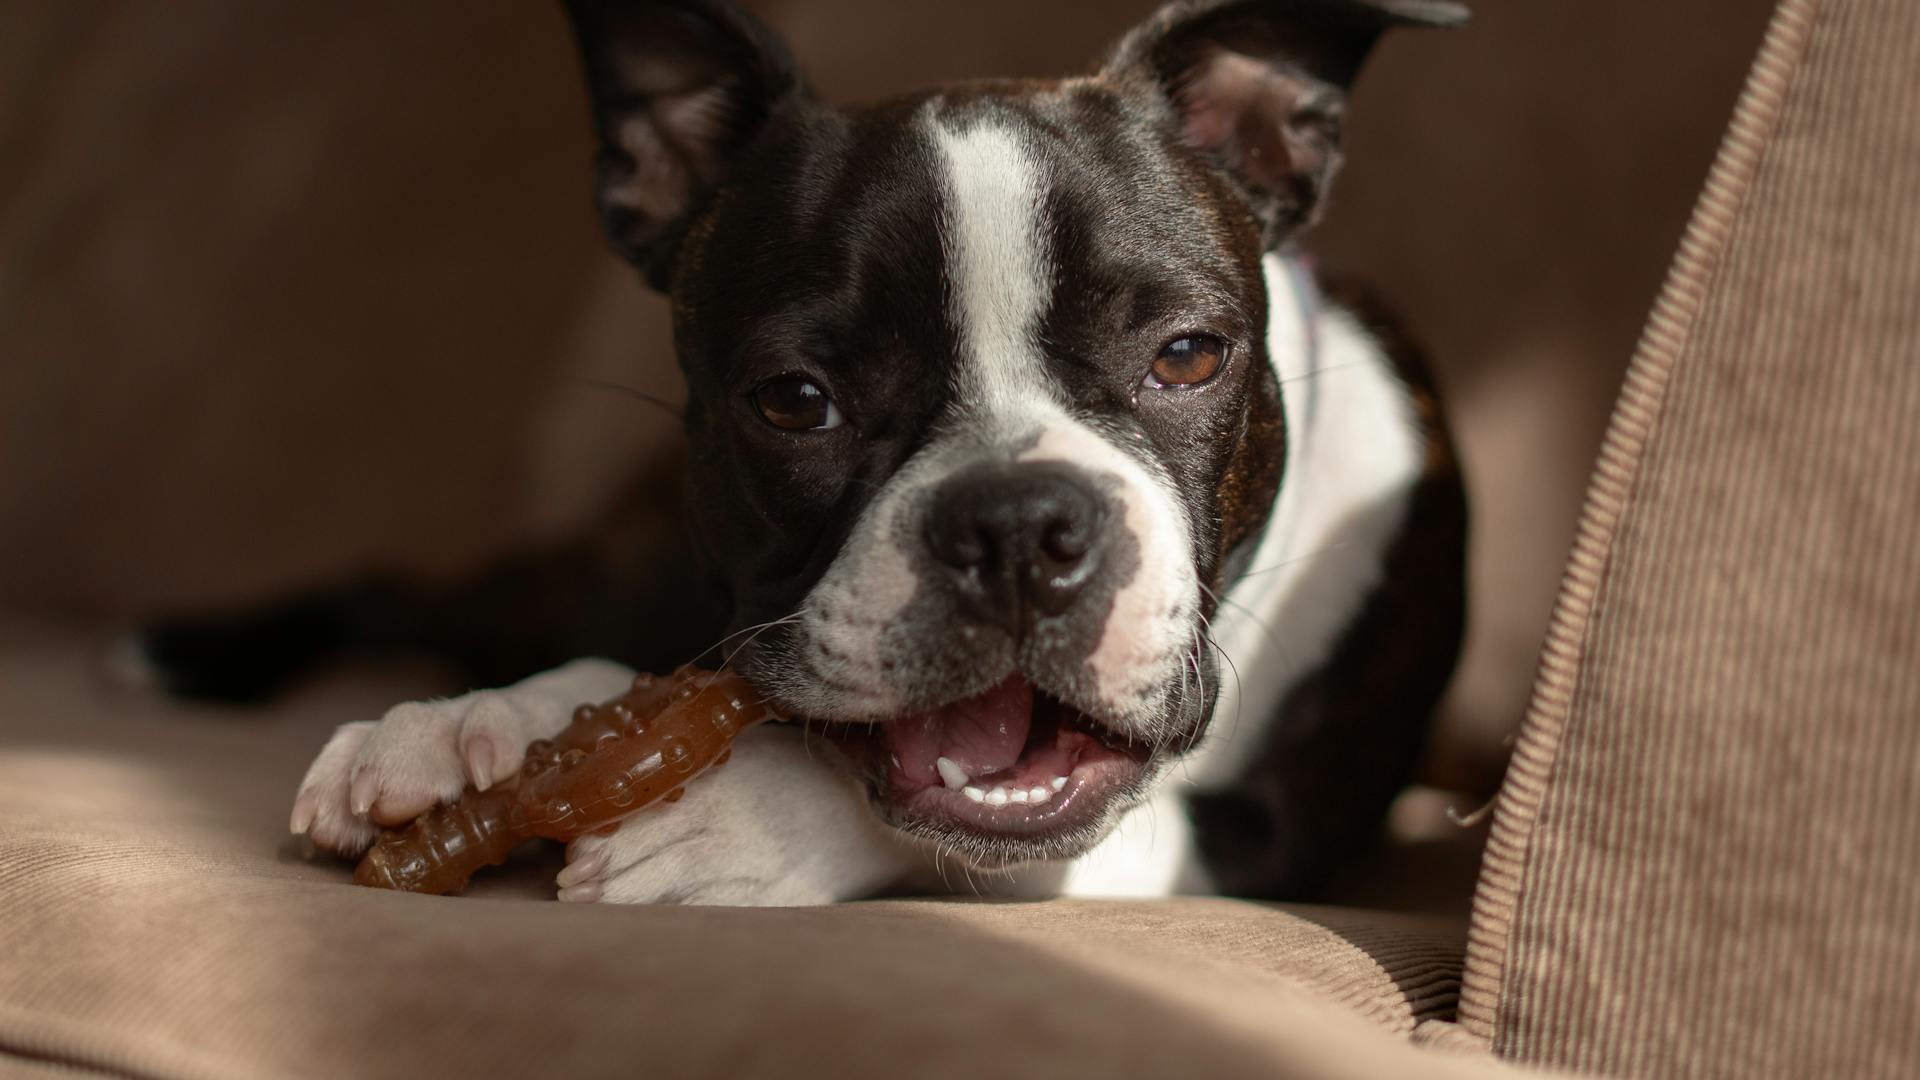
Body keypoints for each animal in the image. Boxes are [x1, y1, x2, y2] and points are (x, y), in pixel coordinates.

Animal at [202, 0, 1466, 903]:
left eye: (1190, 357)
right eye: (796, 402)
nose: (1018, 523)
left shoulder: (1268, 837)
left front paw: (746, 823)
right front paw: (481, 727)